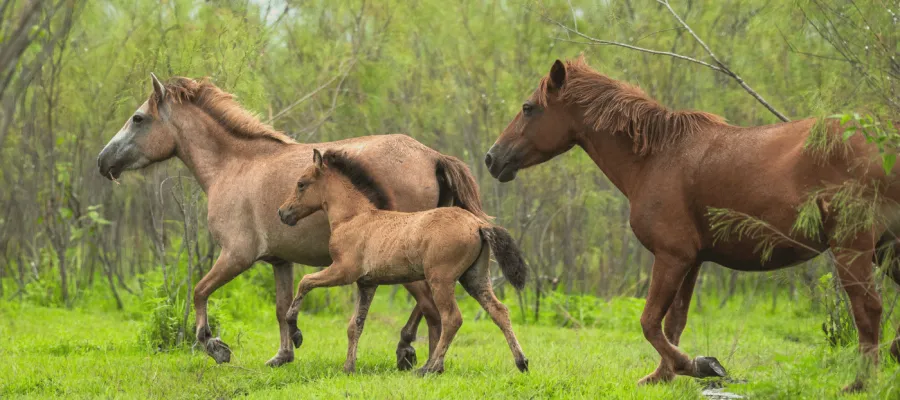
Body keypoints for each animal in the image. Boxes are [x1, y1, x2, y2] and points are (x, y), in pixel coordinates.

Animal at [97, 74, 489, 369]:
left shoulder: (236, 255)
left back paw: (416, 356)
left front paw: (215, 346)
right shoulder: (279, 261)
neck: (235, 166)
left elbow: (200, 291)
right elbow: (282, 307)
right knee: (430, 307)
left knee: (433, 310)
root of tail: (432, 156)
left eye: (138, 118)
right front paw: (284, 352)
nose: (103, 161)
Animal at [276, 148, 529, 374]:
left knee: (452, 319)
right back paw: (521, 362)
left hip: (441, 280)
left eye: (301, 183)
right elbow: (354, 325)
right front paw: (348, 368)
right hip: (474, 278)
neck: (353, 217)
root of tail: (478, 224)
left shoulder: (342, 271)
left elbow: (305, 282)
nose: (282, 213)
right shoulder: (367, 284)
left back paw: (430, 368)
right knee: (499, 311)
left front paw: (296, 333)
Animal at [484, 56, 900, 391]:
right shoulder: (692, 261)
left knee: (868, 310)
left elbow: (650, 322)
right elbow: (673, 323)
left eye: (528, 108)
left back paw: (861, 382)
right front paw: (664, 375)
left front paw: (697, 365)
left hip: (853, 250)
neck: (655, 156)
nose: (492, 158)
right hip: (885, 251)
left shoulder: (672, 257)